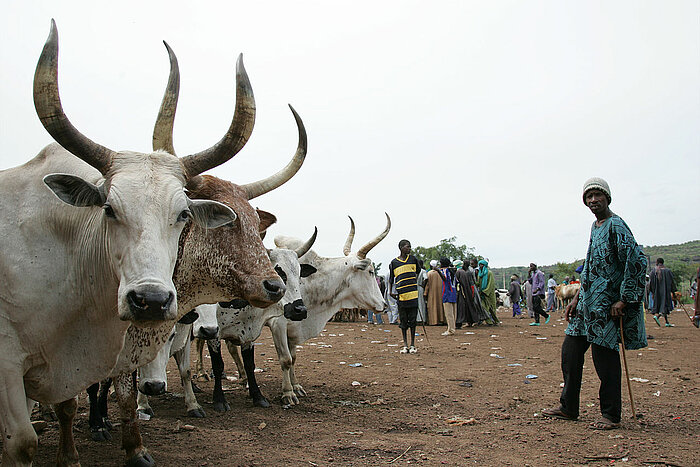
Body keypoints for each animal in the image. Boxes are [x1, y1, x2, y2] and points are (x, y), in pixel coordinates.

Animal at [270, 216, 388, 406]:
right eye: (370, 271)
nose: (384, 305)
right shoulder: (278, 325)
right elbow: (285, 360)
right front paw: (287, 392)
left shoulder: (294, 328)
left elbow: (293, 358)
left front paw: (296, 386)